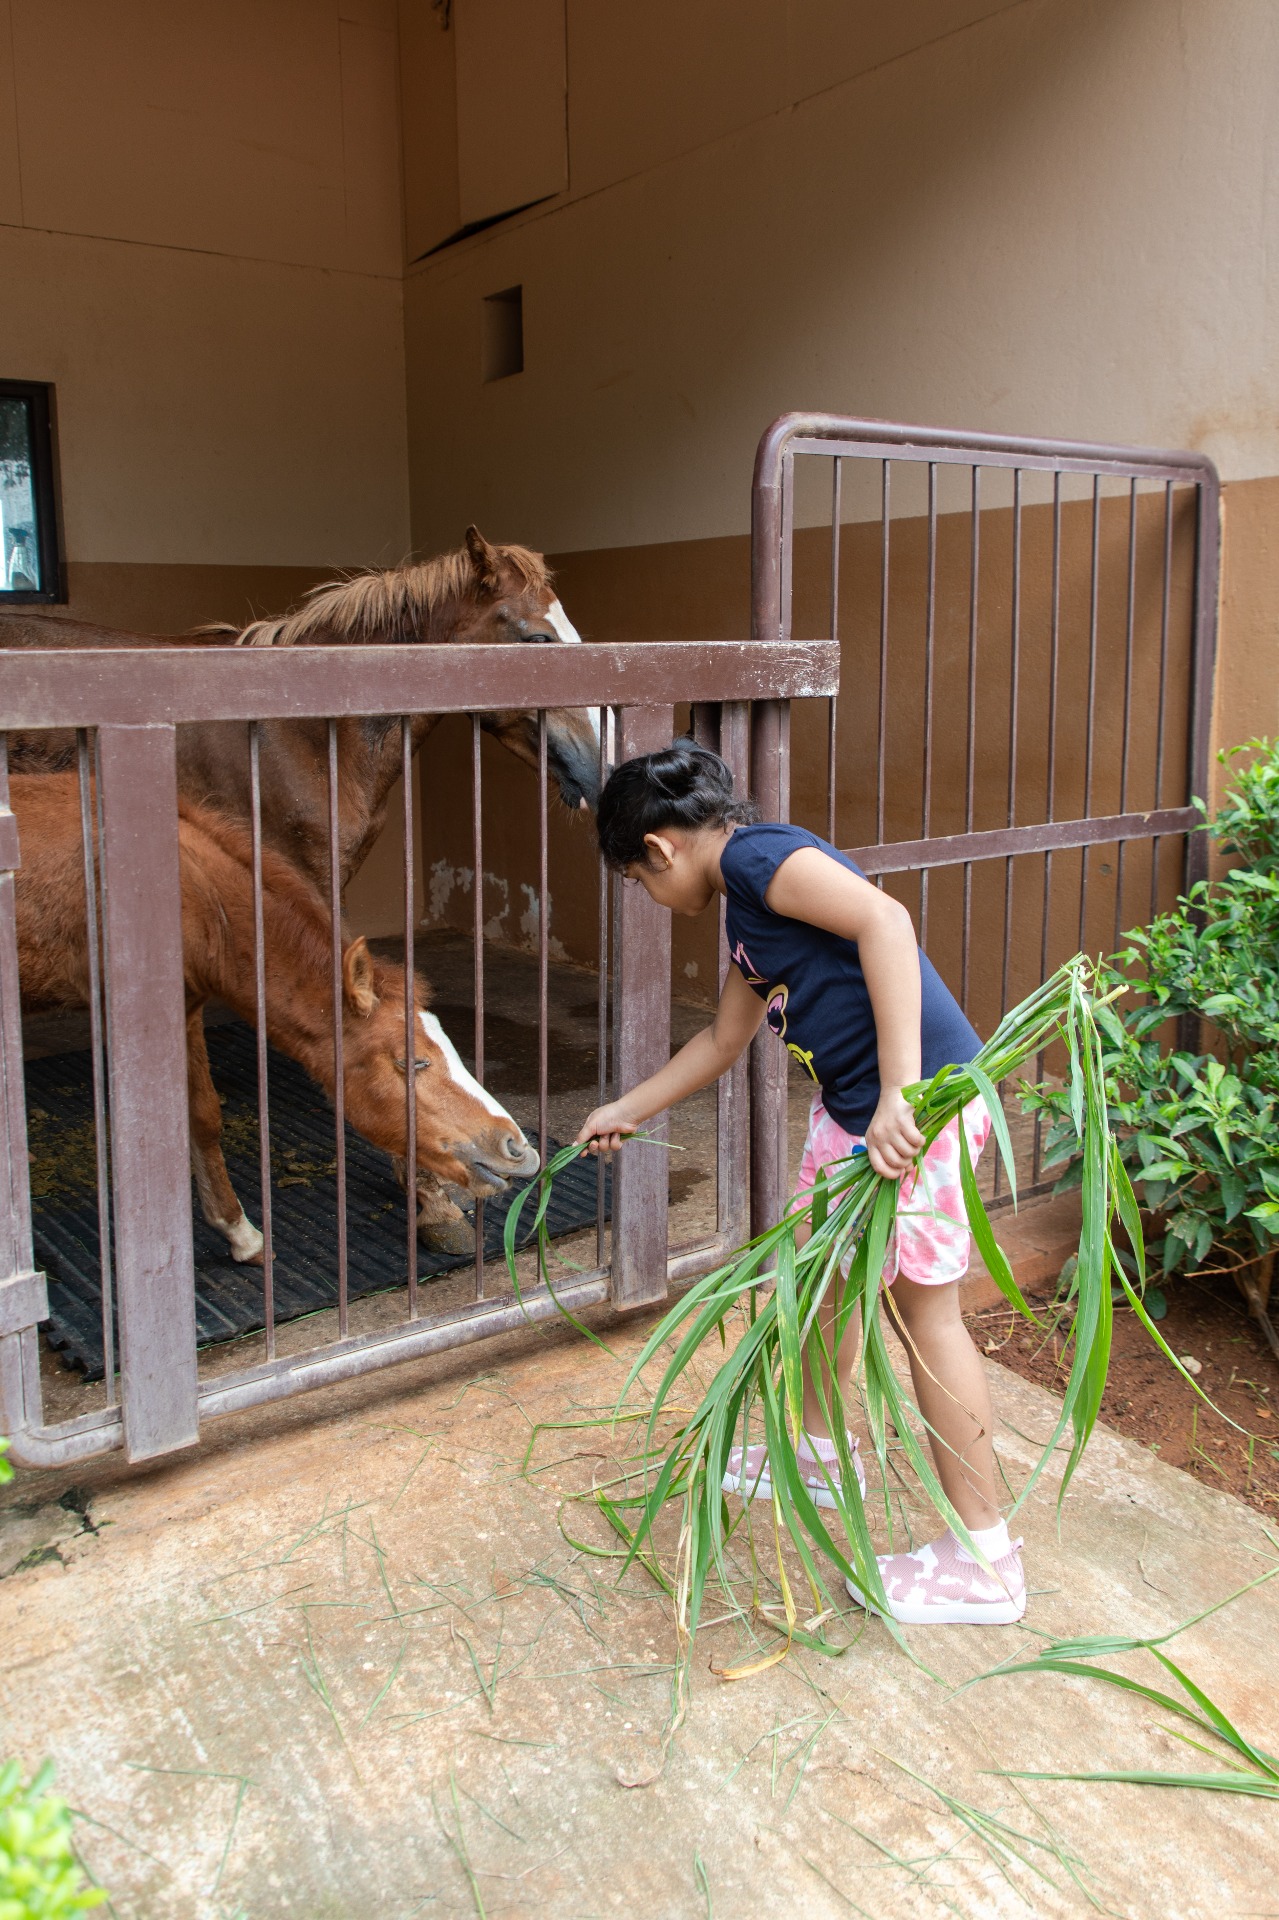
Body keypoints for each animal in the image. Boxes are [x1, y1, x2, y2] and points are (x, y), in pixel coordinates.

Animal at [13, 772, 538, 1266]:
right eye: (413, 1062)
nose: (517, 1148)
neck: (190, 897)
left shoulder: (186, 1008)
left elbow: (203, 1116)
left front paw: (240, 1234)